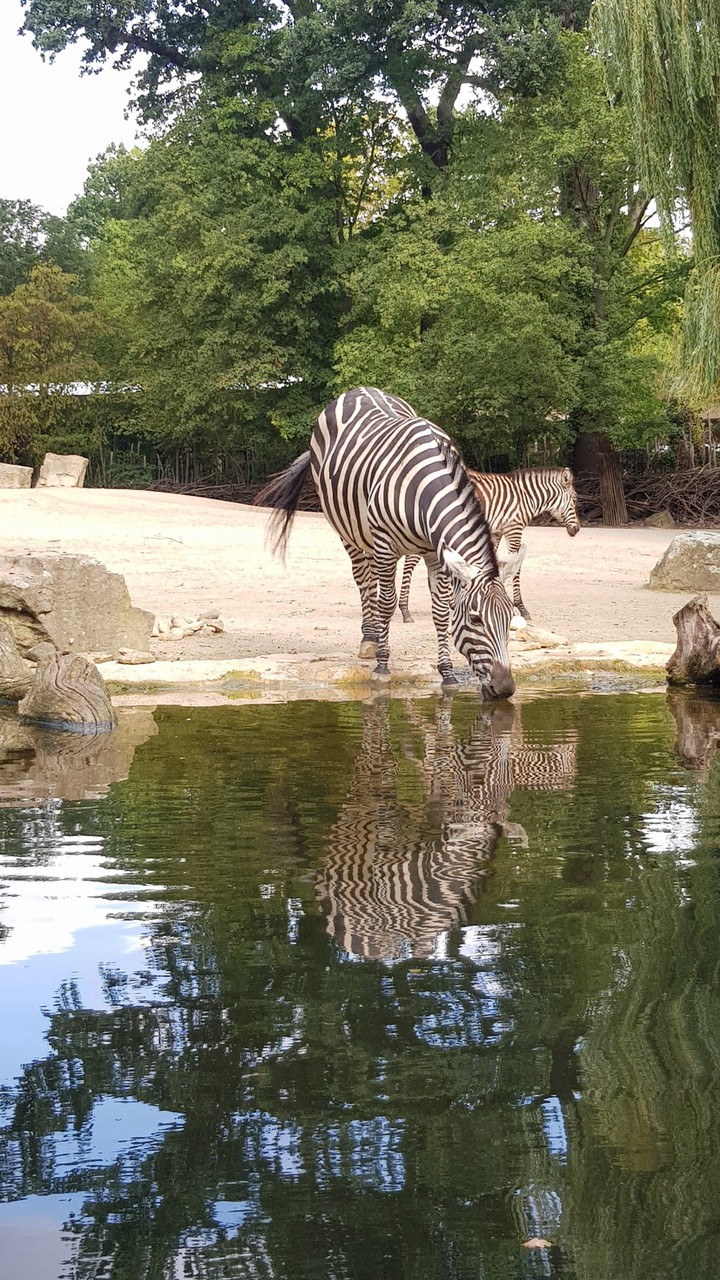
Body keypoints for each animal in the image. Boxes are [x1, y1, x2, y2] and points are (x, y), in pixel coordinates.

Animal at [255, 388, 522, 699]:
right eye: (476, 619)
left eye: (509, 618)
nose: (504, 688)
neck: (425, 492)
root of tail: (358, 389)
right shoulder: (386, 543)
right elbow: (387, 602)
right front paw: (382, 667)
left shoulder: (435, 552)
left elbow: (441, 610)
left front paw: (446, 673)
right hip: (348, 530)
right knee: (363, 580)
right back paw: (369, 639)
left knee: (371, 580)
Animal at [398, 466, 580, 622]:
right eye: (575, 499)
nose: (577, 529)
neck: (524, 497)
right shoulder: (513, 528)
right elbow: (517, 566)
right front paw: (520, 607)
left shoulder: (496, 532)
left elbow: (496, 562)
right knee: (410, 562)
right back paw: (406, 610)